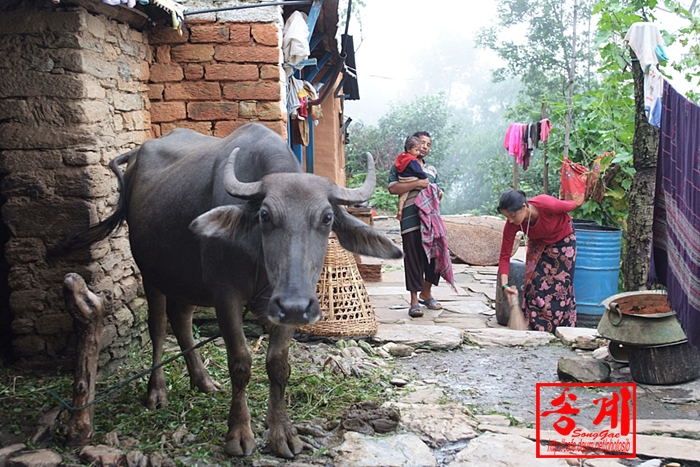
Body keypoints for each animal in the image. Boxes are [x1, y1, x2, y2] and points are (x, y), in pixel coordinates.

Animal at [57, 122, 402, 458]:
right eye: (265, 215)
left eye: (327, 217)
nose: (295, 306)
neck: (259, 257)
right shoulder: (226, 297)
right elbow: (240, 363)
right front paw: (238, 434)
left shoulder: (283, 307)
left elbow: (278, 364)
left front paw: (282, 434)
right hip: (151, 273)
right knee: (158, 326)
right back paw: (156, 391)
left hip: (186, 277)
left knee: (181, 320)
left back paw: (203, 381)